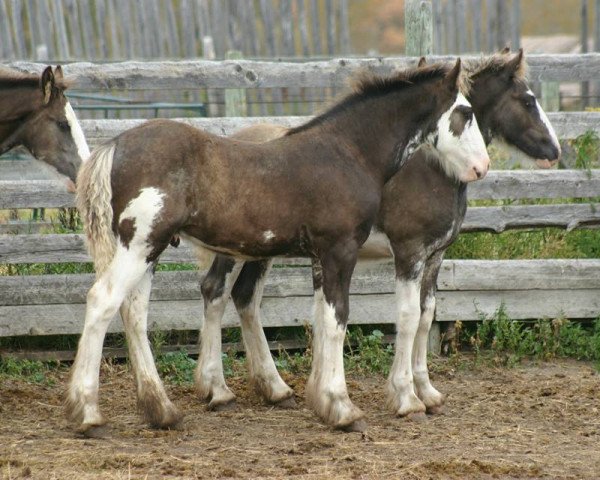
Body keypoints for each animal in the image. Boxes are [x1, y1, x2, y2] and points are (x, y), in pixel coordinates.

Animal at [71, 61, 492, 436]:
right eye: (465, 112)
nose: (482, 167)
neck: (348, 152)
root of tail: (115, 144)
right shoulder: (344, 251)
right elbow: (339, 321)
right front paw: (344, 409)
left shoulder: (323, 256)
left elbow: (323, 320)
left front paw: (323, 401)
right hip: (141, 244)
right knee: (103, 300)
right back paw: (88, 413)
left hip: (150, 249)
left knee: (135, 312)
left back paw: (162, 411)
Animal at [193, 49, 564, 420]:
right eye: (528, 100)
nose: (555, 151)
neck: (431, 169)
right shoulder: (408, 252)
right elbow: (407, 316)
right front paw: (405, 397)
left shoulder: (434, 255)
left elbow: (425, 315)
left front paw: (427, 392)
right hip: (232, 249)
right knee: (216, 292)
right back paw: (219, 390)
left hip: (259, 250)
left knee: (245, 298)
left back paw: (275, 388)